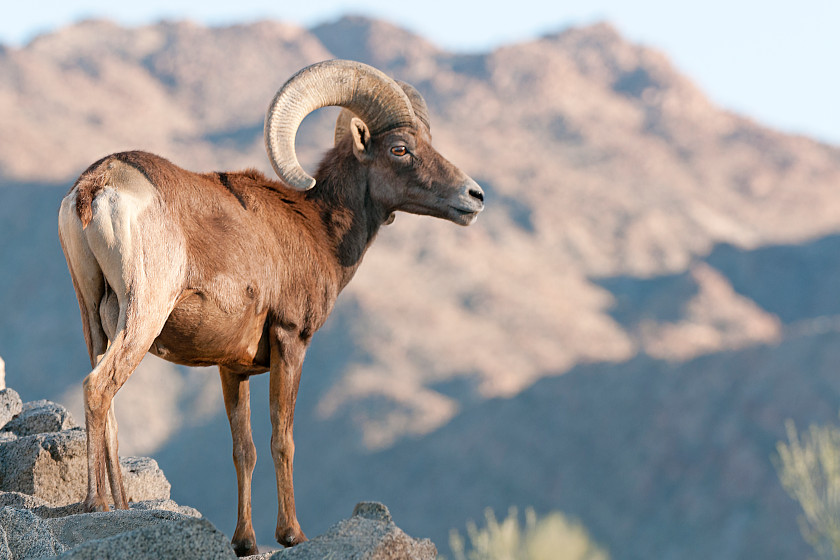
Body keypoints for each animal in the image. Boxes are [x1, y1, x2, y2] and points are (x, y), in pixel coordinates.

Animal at [57, 59, 484, 556]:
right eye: (400, 149)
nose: (474, 196)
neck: (316, 228)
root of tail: (96, 188)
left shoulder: (232, 369)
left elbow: (244, 449)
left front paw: (245, 541)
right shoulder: (289, 341)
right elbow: (283, 439)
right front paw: (291, 534)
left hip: (93, 318)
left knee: (106, 398)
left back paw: (121, 506)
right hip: (142, 315)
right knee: (97, 387)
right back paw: (97, 505)